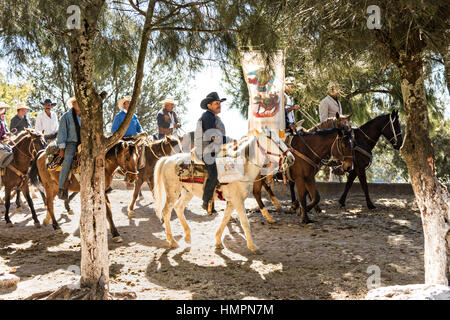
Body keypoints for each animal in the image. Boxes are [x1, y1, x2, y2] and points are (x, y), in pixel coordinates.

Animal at [153, 127, 298, 255]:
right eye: (269, 137)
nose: (291, 158)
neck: (241, 168)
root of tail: (167, 159)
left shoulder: (232, 202)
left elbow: (225, 219)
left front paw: (218, 241)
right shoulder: (237, 201)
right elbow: (245, 223)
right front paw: (254, 247)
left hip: (187, 192)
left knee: (178, 208)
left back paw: (187, 237)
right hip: (173, 192)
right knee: (166, 212)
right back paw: (172, 241)